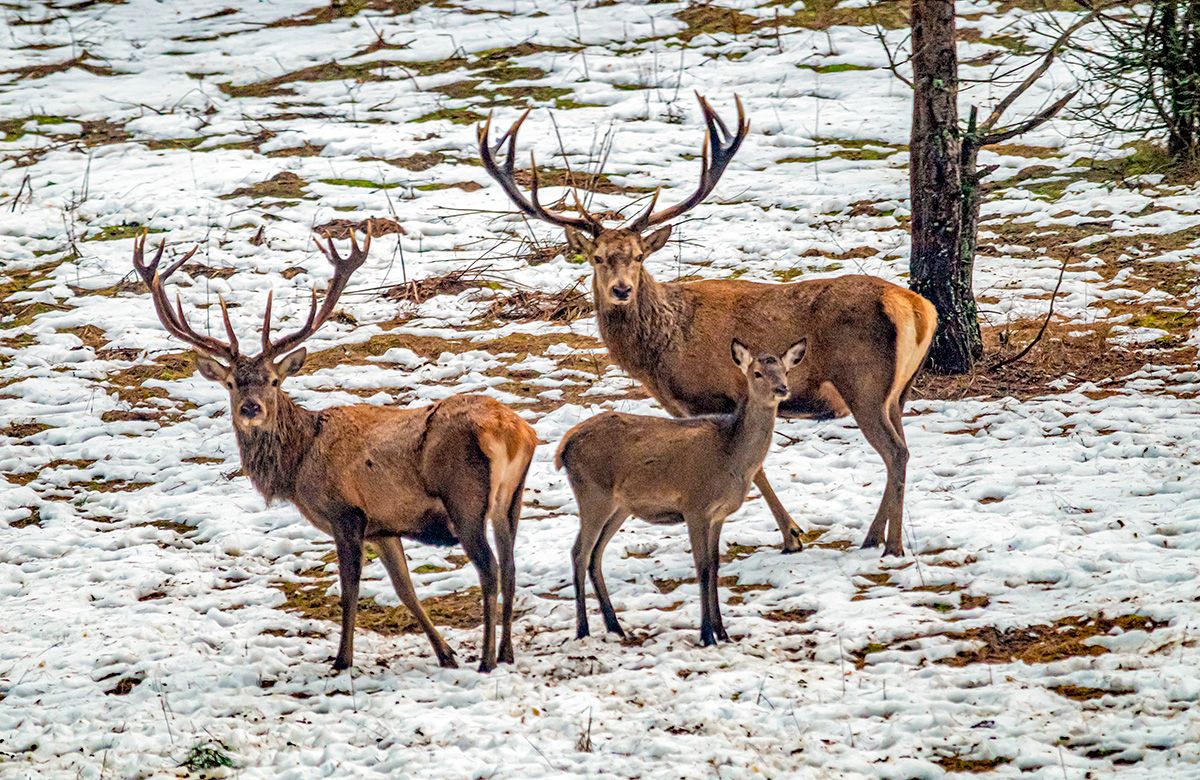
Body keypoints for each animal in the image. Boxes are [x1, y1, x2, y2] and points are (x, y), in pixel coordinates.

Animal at [130, 226, 535, 667]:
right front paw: (445, 654)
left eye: (274, 381)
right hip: (510, 499)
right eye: (232, 383)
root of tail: (513, 432)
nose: (251, 408)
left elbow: (349, 592)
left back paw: (487, 659)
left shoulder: (346, 514)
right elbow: (405, 591)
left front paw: (342, 660)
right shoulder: (383, 526)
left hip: (465, 499)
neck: (298, 466)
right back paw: (507, 653)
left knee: (490, 570)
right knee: (511, 567)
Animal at [477, 94, 936, 556]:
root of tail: (918, 308)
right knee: (903, 446)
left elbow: (753, 466)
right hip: (897, 391)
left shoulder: (717, 396)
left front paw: (791, 534)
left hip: (863, 382)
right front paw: (791, 532)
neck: (663, 349)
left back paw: (892, 543)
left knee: (895, 452)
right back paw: (876, 536)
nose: (622, 290)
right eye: (598, 257)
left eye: (639, 257)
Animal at [554, 336, 801, 643]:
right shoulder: (695, 506)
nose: (782, 389)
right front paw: (707, 634)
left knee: (595, 554)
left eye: (786, 370)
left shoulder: (719, 514)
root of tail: (563, 448)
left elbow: (715, 566)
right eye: (757, 373)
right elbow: (702, 568)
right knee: (579, 552)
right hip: (592, 494)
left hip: (620, 506)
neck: (731, 458)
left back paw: (615, 626)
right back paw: (583, 629)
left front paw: (723, 632)